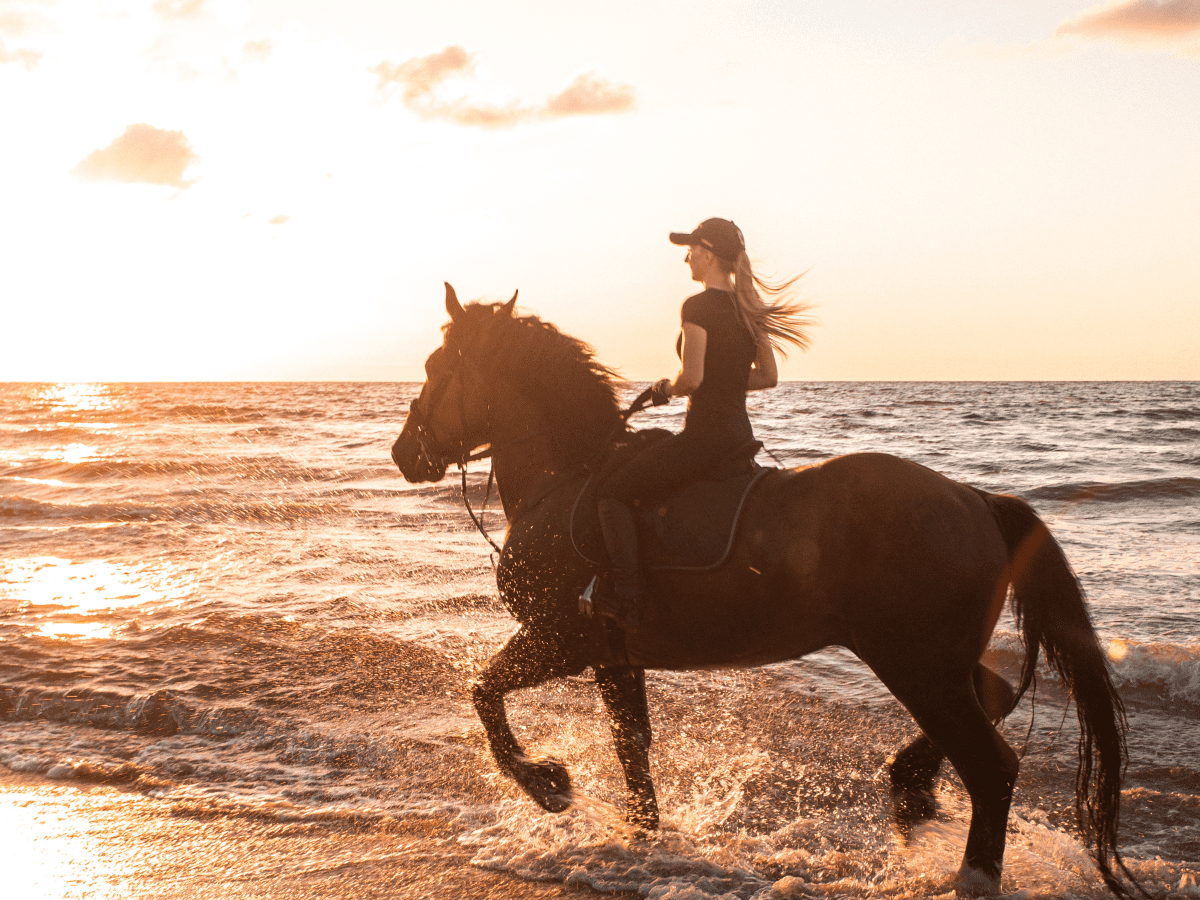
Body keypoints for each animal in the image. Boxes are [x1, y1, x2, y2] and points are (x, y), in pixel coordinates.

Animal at [393, 283, 1142, 900]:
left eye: (435, 369)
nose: (406, 454)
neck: (565, 478)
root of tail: (975, 499)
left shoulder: (559, 640)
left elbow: (485, 697)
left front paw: (549, 785)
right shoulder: (613, 655)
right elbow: (632, 749)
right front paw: (642, 839)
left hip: (915, 664)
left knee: (991, 766)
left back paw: (968, 872)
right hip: (940, 662)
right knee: (997, 693)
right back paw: (909, 791)